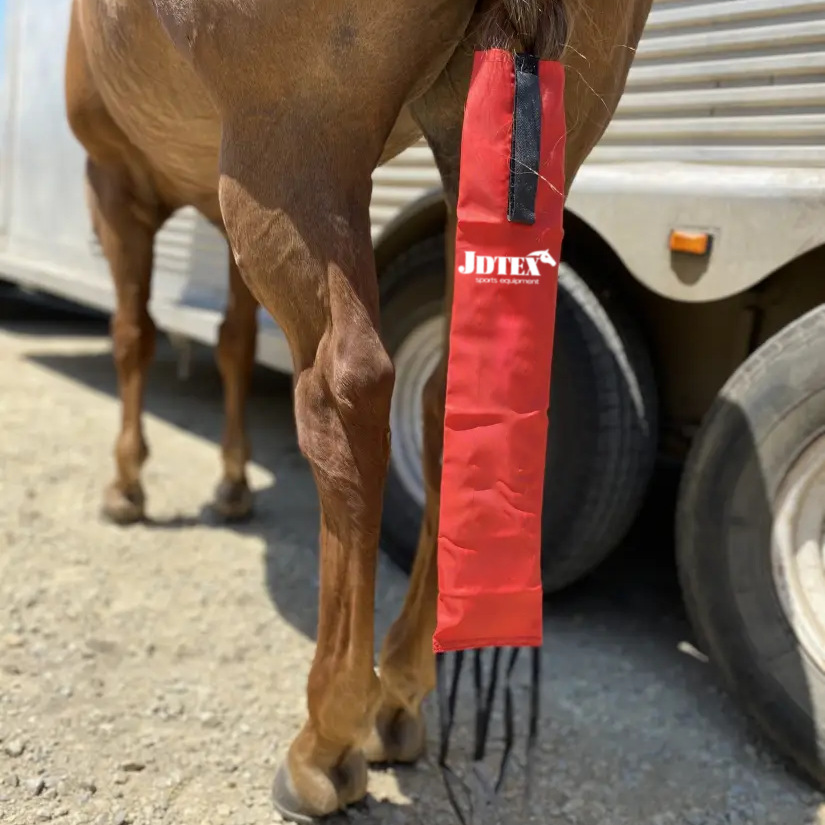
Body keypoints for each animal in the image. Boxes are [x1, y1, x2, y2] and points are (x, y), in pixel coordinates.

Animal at [65, 0, 653, 818]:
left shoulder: (115, 182)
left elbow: (134, 336)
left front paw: (127, 486)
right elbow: (233, 343)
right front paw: (232, 483)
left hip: (297, 147)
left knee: (346, 391)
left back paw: (326, 740)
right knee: (445, 396)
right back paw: (398, 693)